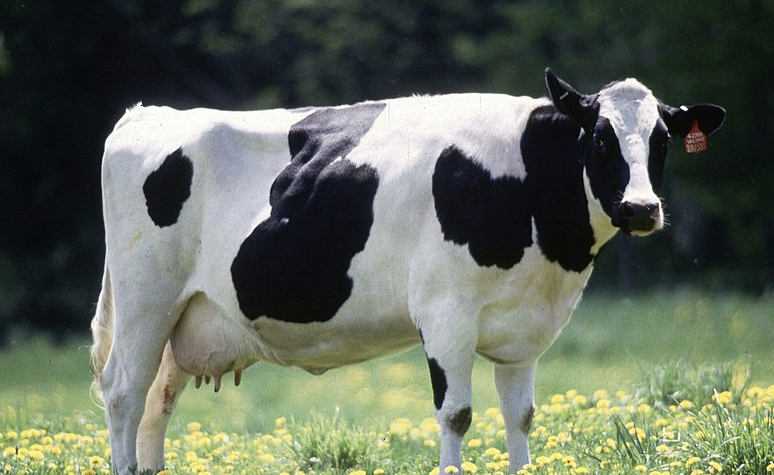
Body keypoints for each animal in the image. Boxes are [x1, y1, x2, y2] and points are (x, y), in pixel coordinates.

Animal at [90, 68, 725, 474]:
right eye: (599, 137)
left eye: (662, 139)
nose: (641, 209)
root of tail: (145, 115)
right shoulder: (446, 314)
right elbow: (458, 415)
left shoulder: (524, 330)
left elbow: (520, 417)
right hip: (146, 299)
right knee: (123, 394)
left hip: (184, 319)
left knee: (156, 406)